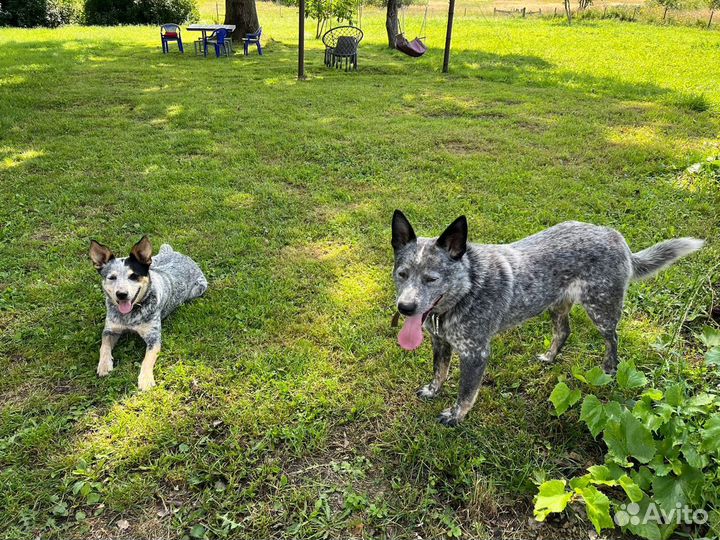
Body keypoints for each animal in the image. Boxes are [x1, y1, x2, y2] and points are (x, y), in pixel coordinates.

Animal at [89, 235, 208, 388]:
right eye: (112, 277)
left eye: (134, 276)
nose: (121, 294)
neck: (130, 315)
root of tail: (180, 255)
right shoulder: (110, 330)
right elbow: (103, 347)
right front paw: (104, 365)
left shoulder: (153, 337)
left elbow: (147, 360)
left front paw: (145, 379)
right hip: (154, 262)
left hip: (199, 288)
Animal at [390, 211, 704, 426]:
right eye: (402, 274)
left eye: (432, 278)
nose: (405, 307)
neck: (468, 287)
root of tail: (617, 237)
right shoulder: (440, 342)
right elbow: (439, 371)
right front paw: (433, 391)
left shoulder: (475, 353)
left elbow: (466, 392)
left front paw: (456, 416)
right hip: (557, 306)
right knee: (563, 332)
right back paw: (550, 357)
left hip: (601, 309)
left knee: (613, 339)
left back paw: (609, 370)